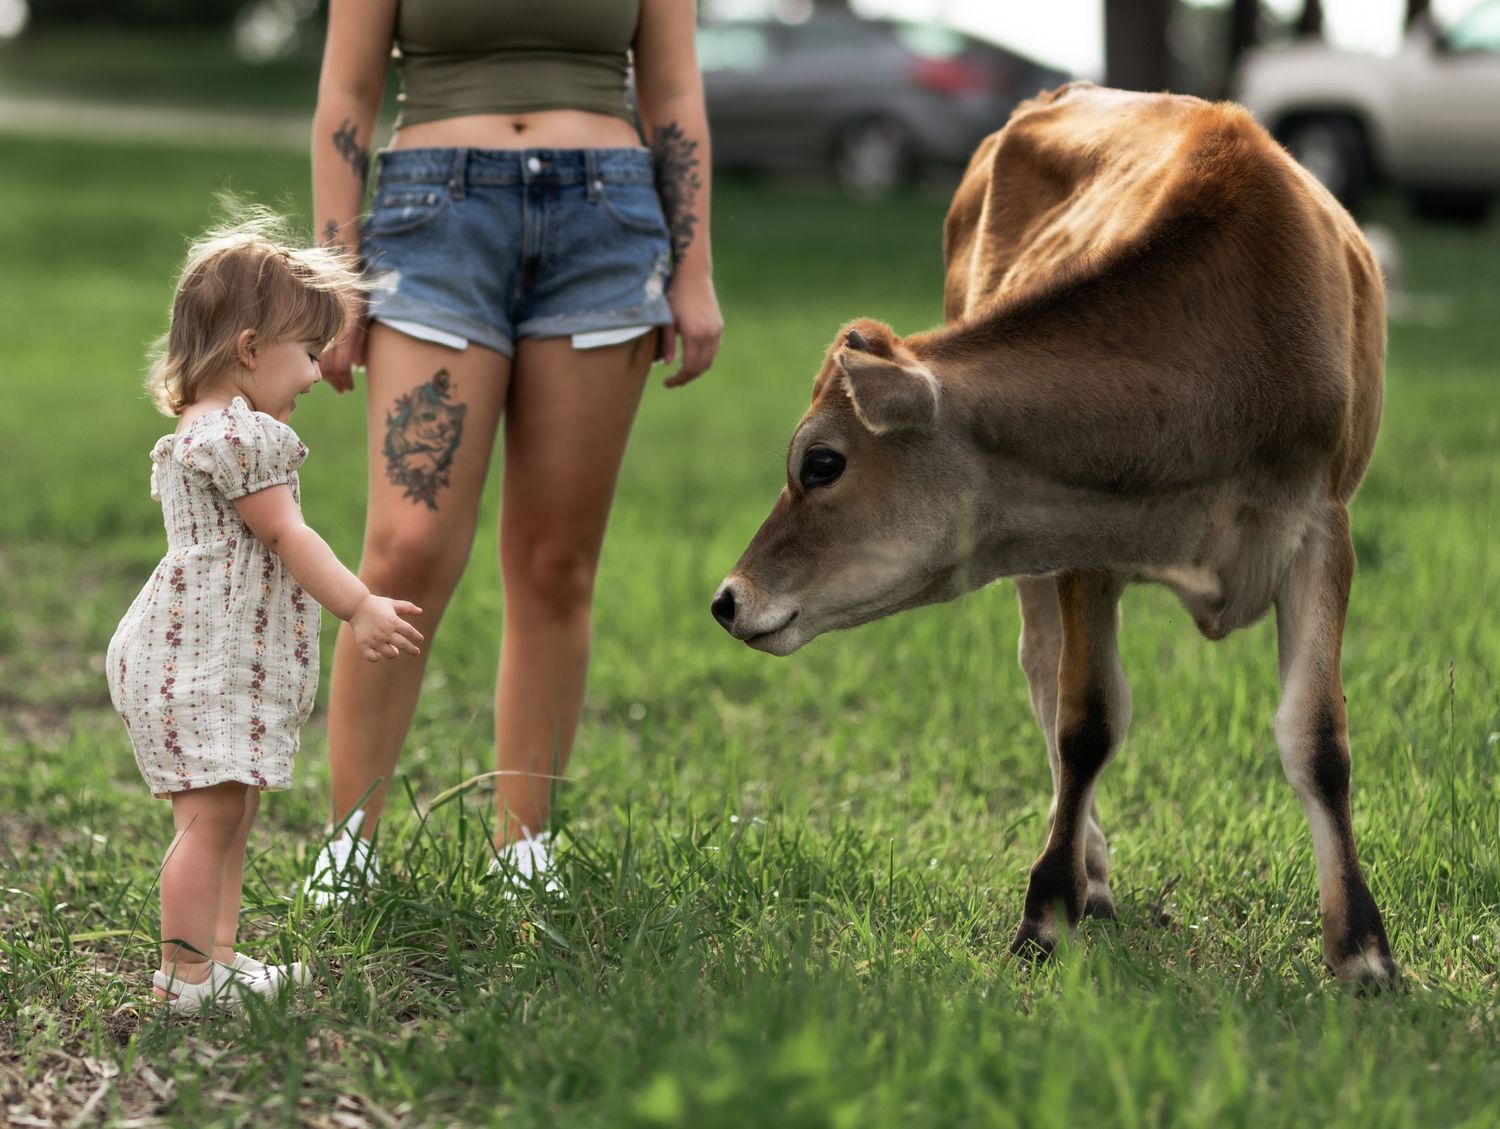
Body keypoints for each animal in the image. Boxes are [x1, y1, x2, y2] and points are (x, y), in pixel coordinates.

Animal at [710, 83, 1396, 984]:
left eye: (820, 463)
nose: (728, 598)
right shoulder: (1079, 537)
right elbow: (1086, 721)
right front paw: (1047, 909)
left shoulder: (1322, 528)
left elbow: (1317, 737)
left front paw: (1362, 949)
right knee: (1042, 670)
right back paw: (1091, 872)